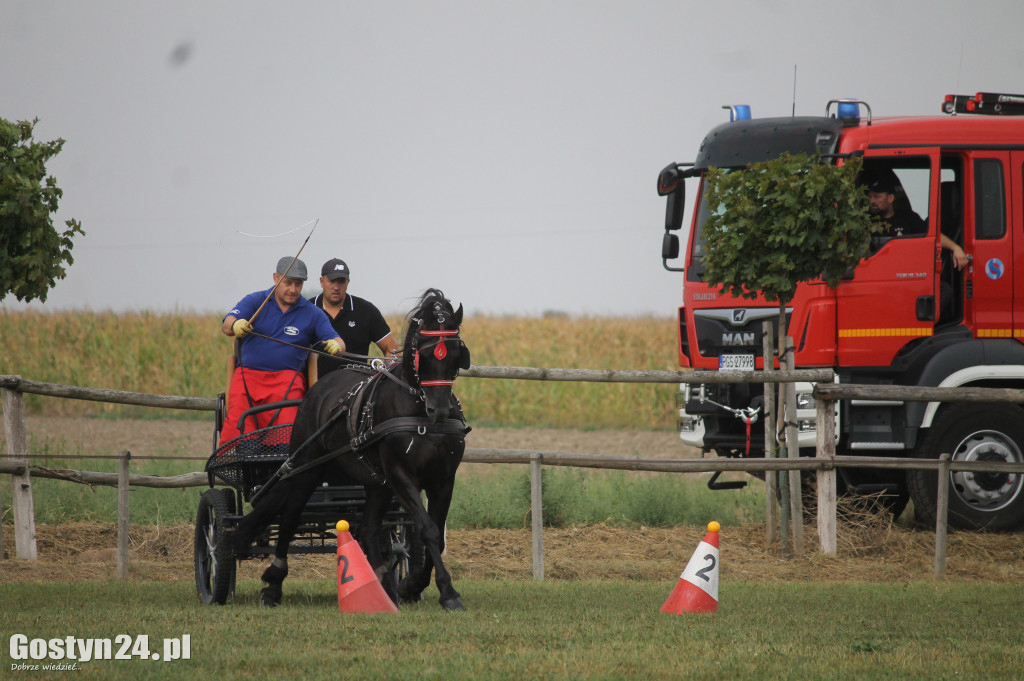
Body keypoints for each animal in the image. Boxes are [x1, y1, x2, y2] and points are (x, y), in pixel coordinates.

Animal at [233, 288, 471, 606]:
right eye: (423, 352)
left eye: (456, 353)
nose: (440, 410)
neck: (419, 412)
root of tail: (321, 387)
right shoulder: (401, 475)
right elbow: (429, 530)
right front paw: (446, 591)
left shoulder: (443, 478)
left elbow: (435, 533)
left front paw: (413, 586)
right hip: (307, 468)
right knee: (290, 518)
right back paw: (274, 582)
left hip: (376, 482)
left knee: (369, 527)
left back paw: (384, 585)